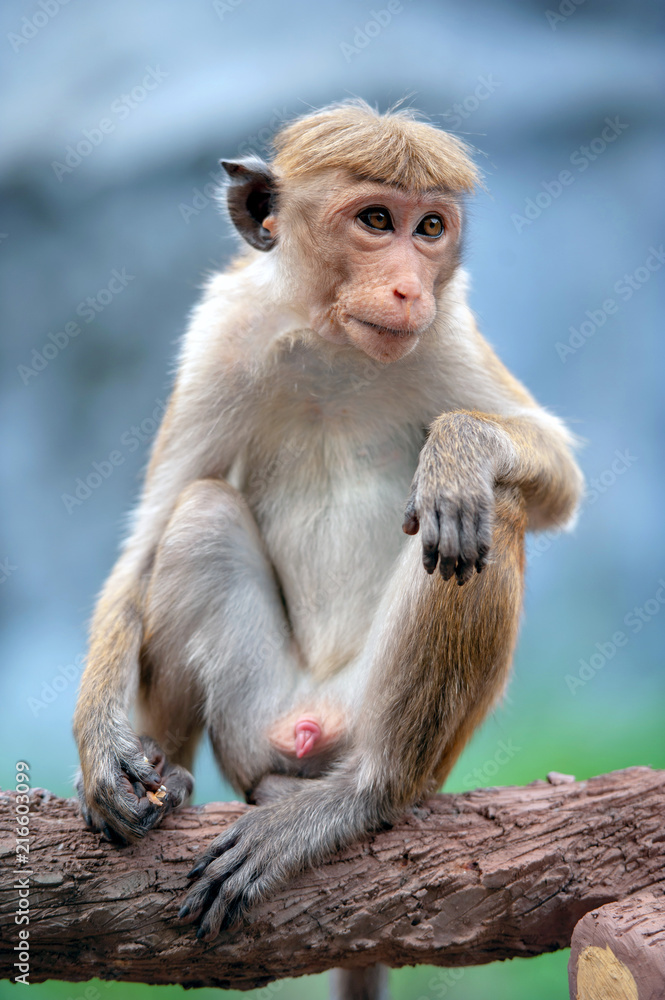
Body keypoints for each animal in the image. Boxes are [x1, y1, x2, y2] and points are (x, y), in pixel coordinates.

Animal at [73, 100, 583, 989]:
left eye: (430, 227)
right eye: (376, 221)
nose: (408, 284)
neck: (335, 341)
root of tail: (310, 726)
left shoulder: (446, 330)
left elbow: (553, 477)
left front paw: (460, 450)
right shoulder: (220, 332)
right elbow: (151, 529)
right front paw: (104, 753)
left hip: (385, 728)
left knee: (493, 514)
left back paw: (358, 799)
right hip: (254, 722)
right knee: (199, 513)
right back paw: (172, 772)